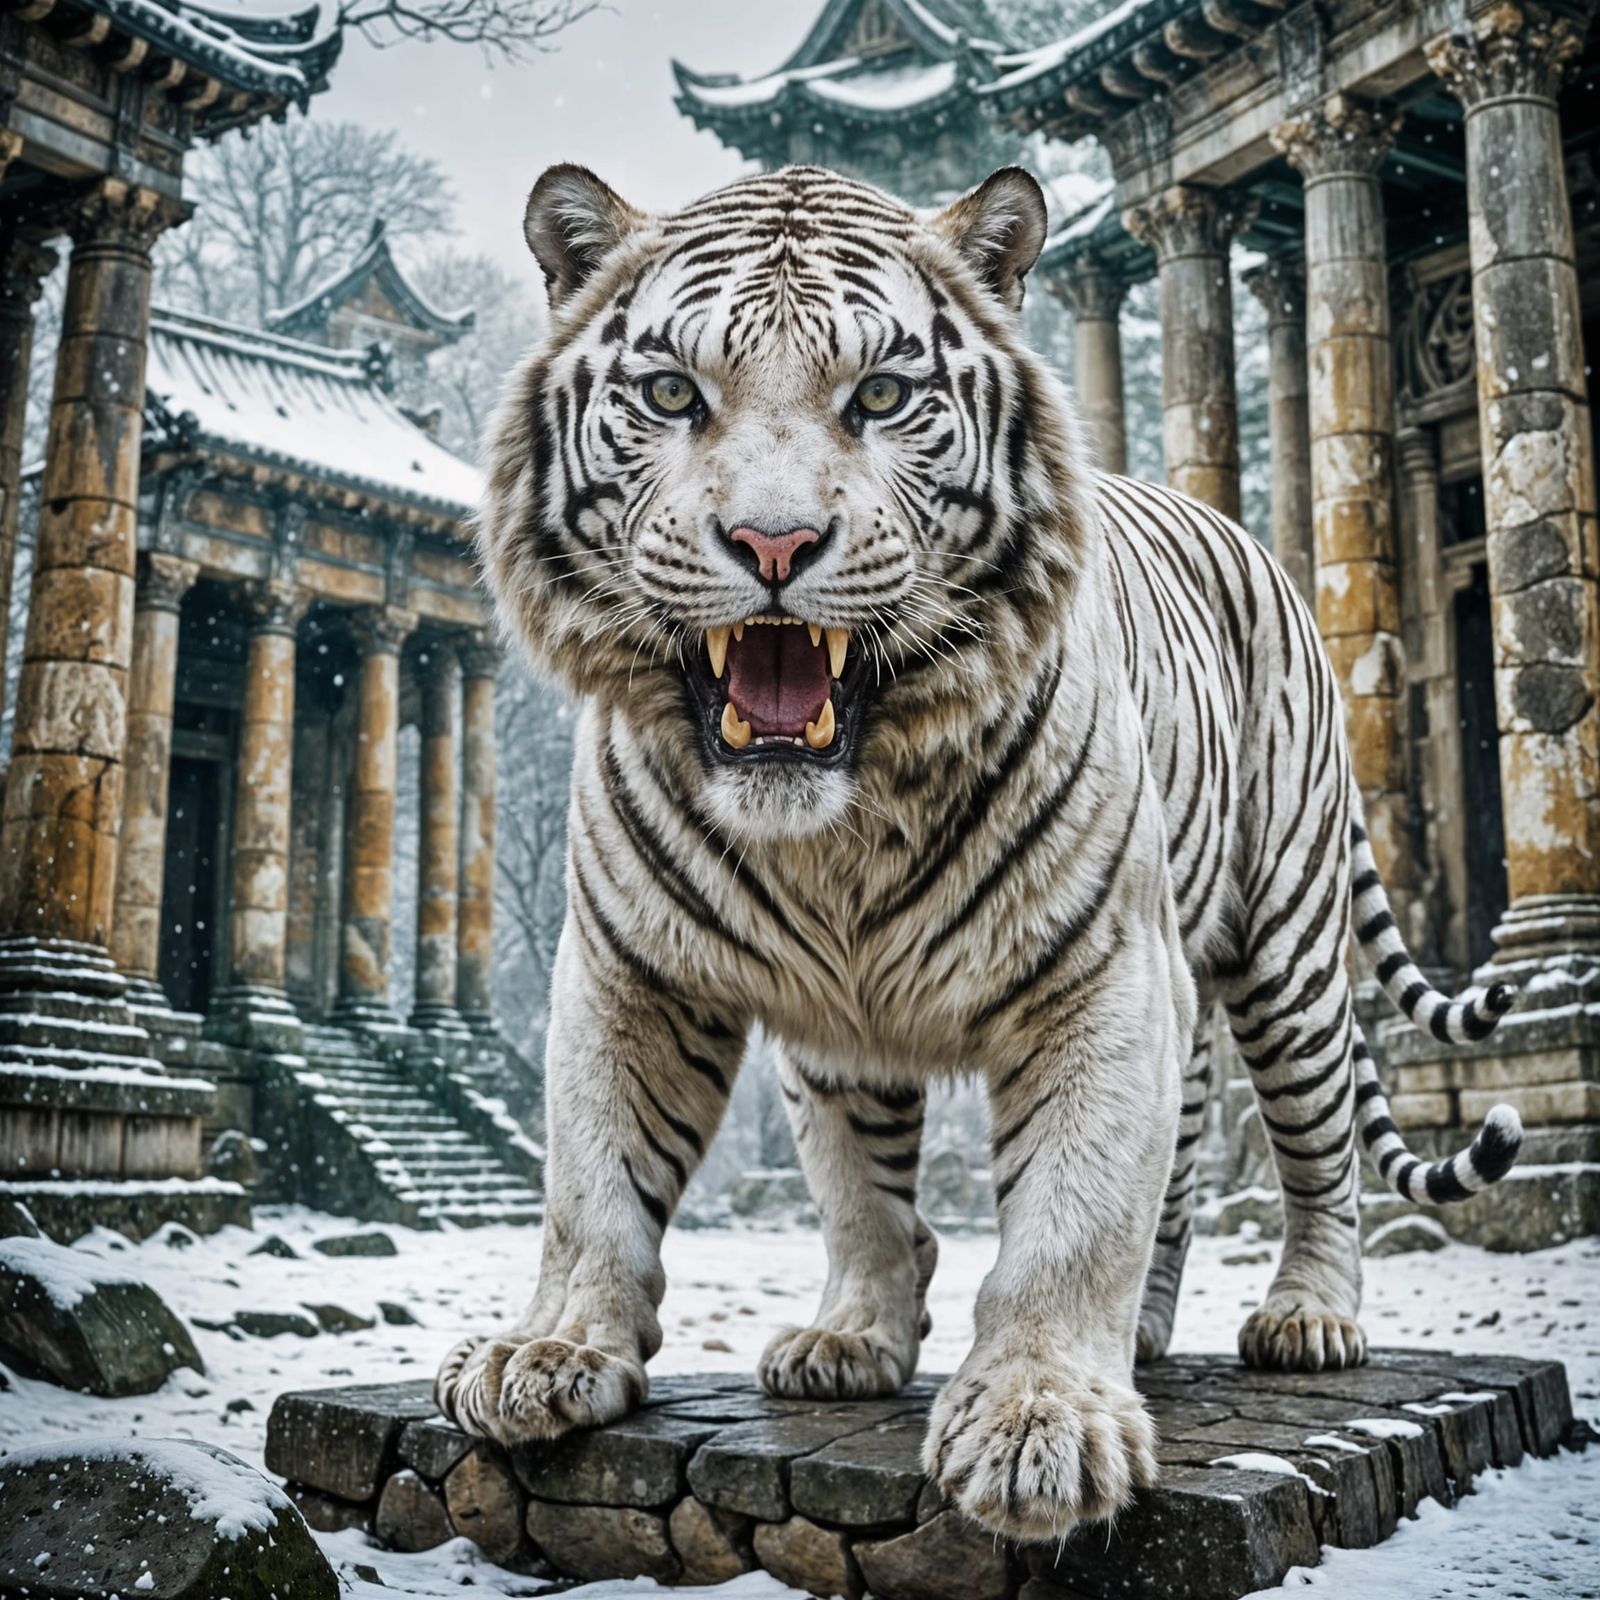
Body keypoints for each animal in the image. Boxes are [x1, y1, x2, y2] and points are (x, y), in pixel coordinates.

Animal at [434, 160, 1523, 1542]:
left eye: (880, 396)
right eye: (673, 393)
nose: (774, 547)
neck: (832, 830)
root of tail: (1249, 534)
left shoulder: (1101, 976)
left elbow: (1070, 1218)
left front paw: (1037, 1425)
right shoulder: (638, 971)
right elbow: (621, 1180)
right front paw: (559, 1350)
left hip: (1284, 951)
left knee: (1318, 1143)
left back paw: (1309, 1317)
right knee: (1137, 1166)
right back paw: (1095, 1331)